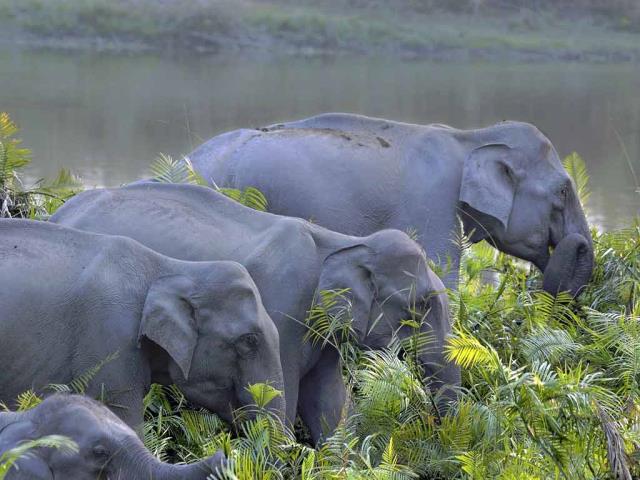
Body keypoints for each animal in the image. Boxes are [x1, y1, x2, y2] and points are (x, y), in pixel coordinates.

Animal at [50, 183, 457, 443]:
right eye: (421, 305)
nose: (440, 433)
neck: (339, 241)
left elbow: (327, 402)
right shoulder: (282, 309)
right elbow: (282, 397)